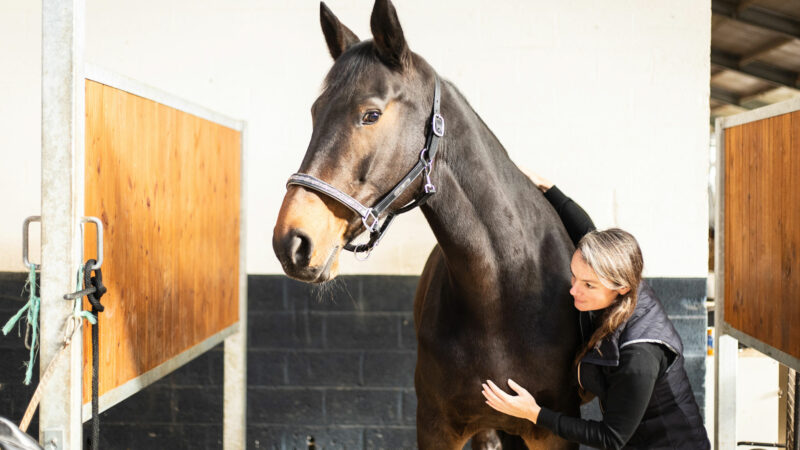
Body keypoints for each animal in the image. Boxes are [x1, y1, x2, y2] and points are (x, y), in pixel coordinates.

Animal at [272, 1, 580, 448]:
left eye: (371, 114)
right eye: (315, 112)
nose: (291, 240)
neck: (503, 292)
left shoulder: (552, 433)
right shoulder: (436, 426)